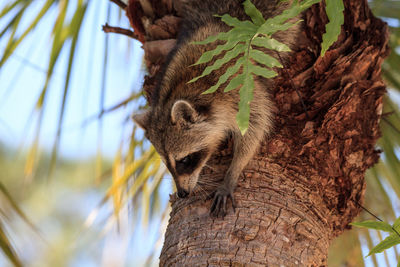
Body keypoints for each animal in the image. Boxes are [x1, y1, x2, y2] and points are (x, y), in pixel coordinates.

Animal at [134, 0, 300, 218]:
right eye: (166, 163)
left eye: (184, 160)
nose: (182, 193)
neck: (187, 88)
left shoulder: (240, 89)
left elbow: (256, 126)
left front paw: (232, 173)